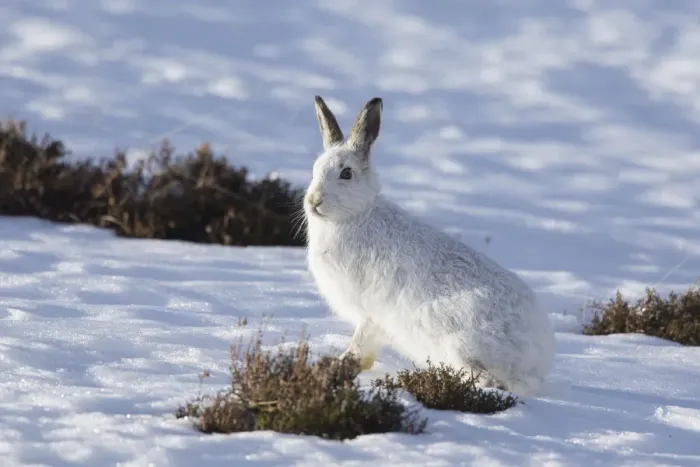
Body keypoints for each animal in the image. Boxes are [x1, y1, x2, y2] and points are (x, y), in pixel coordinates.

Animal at [303, 95, 556, 396]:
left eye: (346, 173)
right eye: (315, 170)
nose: (313, 200)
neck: (356, 215)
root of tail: (536, 361)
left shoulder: (371, 314)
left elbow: (360, 347)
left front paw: (337, 365)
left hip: (458, 342)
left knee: (486, 380)